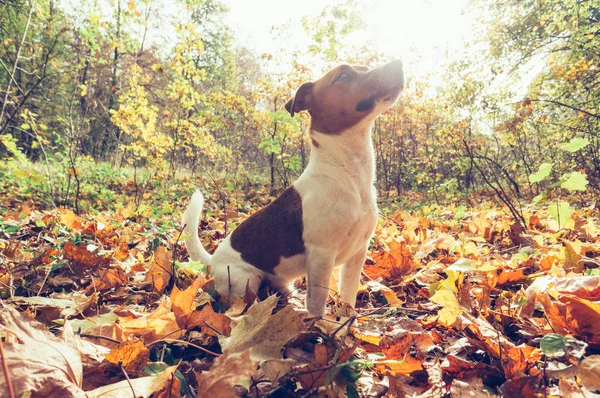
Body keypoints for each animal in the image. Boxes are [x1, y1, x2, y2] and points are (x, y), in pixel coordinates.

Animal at [183, 59, 406, 316]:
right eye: (343, 76)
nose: (398, 63)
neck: (346, 173)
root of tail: (212, 261)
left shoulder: (358, 252)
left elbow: (348, 295)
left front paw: (346, 320)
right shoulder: (321, 254)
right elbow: (317, 302)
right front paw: (319, 325)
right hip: (243, 279)